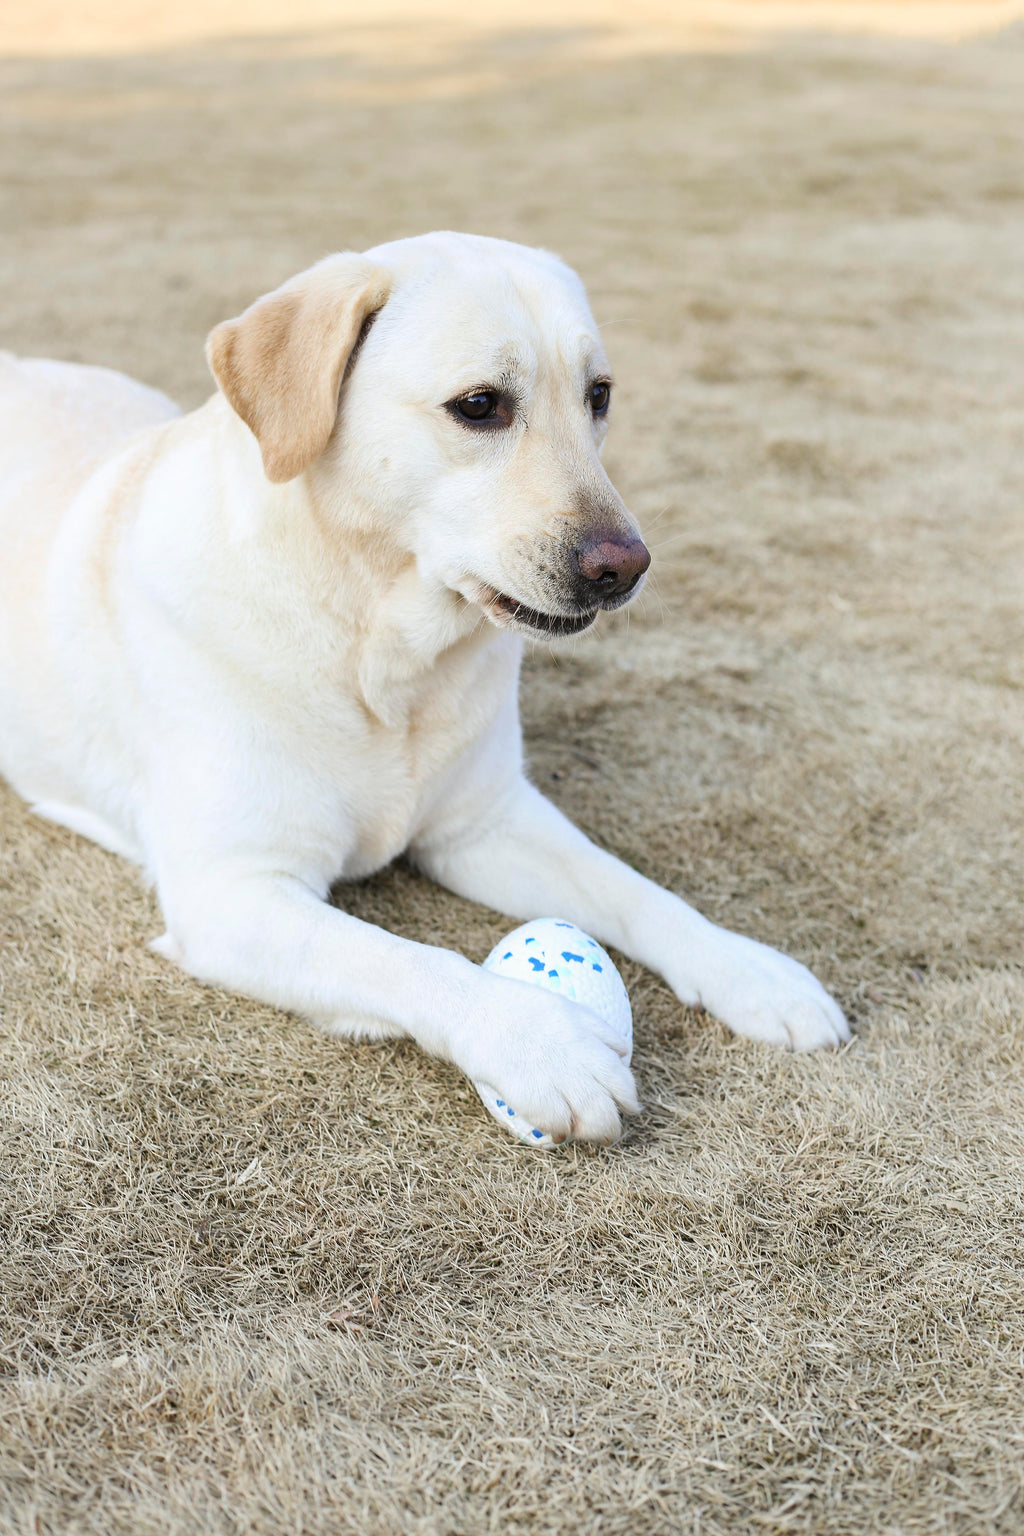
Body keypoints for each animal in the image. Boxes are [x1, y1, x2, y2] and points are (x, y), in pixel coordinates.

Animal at [0, 227, 847, 1142]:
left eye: (599, 396)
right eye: (479, 405)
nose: (626, 568)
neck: (381, 655)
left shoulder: (486, 822)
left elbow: (633, 890)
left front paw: (750, 970)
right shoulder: (233, 892)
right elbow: (411, 962)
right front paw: (541, 1044)